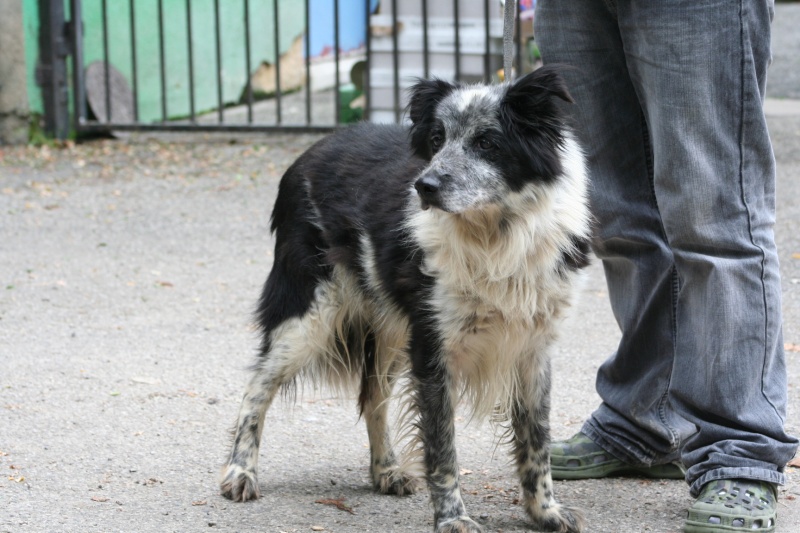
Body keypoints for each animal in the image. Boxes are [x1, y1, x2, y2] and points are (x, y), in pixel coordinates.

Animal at [222, 67, 592, 532]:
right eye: (436, 138)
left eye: (487, 142)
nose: (425, 186)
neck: (493, 236)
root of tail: (312, 150)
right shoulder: (435, 350)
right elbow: (443, 448)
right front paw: (452, 518)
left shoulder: (531, 349)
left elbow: (536, 440)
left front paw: (545, 511)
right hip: (309, 314)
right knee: (257, 386)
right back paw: (240, 472)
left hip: (393, 329)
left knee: (372, 396)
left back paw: (385, 470)